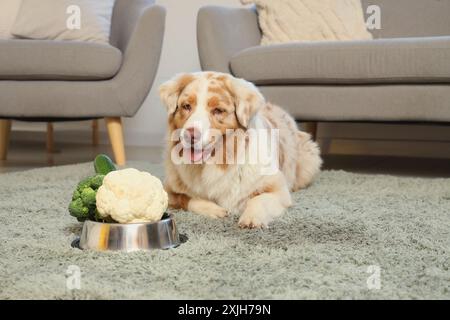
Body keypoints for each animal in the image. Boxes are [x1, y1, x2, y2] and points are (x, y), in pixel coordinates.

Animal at [160, 71, 322, 229]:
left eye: (218, 110)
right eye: (186, 106)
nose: (190, 134)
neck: (219, 162)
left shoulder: (279, 190)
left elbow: (258, 199)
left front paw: (251, 217)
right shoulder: (169, 189)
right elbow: (189, 198)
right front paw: (214, 209)